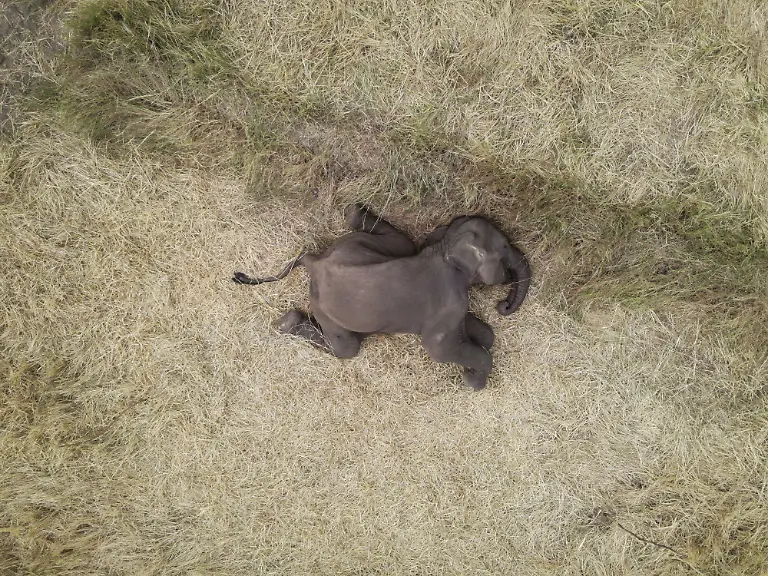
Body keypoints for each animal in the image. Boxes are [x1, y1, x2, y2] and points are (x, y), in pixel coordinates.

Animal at [233, 205, 531, 390]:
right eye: (505, 248)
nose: (502, 305)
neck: (445, 250)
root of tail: (314, 262)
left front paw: (480, 344)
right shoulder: (450, 300)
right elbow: (439, 349)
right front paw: (472, 380)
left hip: (357, 247)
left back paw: (357, 212)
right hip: (325, 307)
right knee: (347, 349)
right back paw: (288, 323)